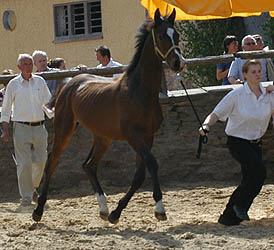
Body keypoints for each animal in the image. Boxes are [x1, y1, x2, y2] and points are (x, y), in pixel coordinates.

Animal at [32, 8, 184, 225]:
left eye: (177, 35)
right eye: (163, 35)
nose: (178, 63)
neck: (139, 91)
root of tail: (69, 82)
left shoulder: (148, 137)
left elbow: (139, 174)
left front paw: (115, 213)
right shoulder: (133, 136)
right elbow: (152, 164)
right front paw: (160, 209)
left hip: (103, 137)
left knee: (89, 165)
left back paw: (104, 209)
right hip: (65, 127)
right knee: (52, 161)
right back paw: (38, 211)